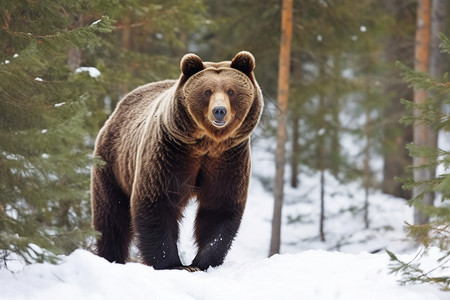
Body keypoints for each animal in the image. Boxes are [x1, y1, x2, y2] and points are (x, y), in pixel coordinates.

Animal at [90, 50, 264, 270]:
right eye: (207, 91)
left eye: (231, 91)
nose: (219, 111)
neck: (207, 143)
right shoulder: (170, 152)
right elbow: (157, 202)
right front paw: (173, 263)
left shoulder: (228, 158)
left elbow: (219, 206)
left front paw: (202, 262)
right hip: (113, 164)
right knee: (111, 217)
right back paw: (111, 257)